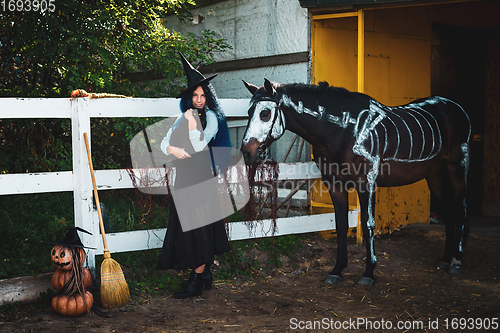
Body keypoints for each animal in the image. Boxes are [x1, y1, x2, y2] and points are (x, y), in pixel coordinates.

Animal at [240, 78, 470, 286]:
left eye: (265, 113)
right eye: (249, 113)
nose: (246, 153)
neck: (344, 131)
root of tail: (456, 107)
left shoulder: (366, 183)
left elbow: (368, 225)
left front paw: (369, 273)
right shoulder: (335, 185)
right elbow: (341, 224)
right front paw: (337, 270)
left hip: (458, 166)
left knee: (461, 209)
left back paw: (457, 261)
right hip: (434, 173)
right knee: (448, 210)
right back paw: (445, 258)